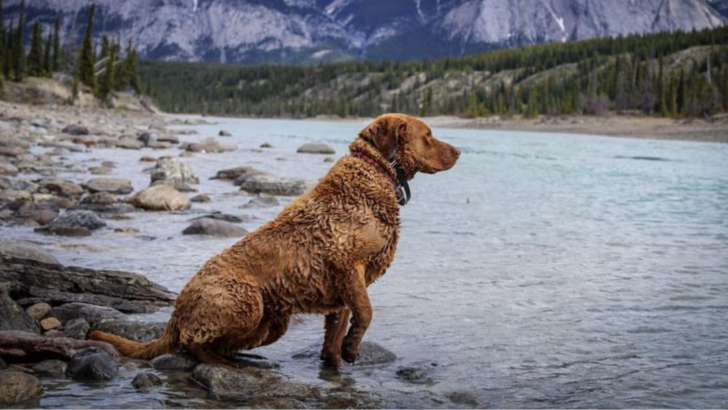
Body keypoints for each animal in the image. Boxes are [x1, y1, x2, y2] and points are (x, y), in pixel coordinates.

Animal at [88, 113, 458, 366]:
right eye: (429, 135)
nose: (458, 151)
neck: (376, 173)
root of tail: (175, 314)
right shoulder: (348, 265)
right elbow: (365, 313)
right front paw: (353, 347)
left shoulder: (342, 293)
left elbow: (334, 336)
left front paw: (337, 360)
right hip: (246, 300)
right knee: (194, 344)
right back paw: (224, 363)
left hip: (271, 323)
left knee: (220, 343)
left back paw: (240, 359)